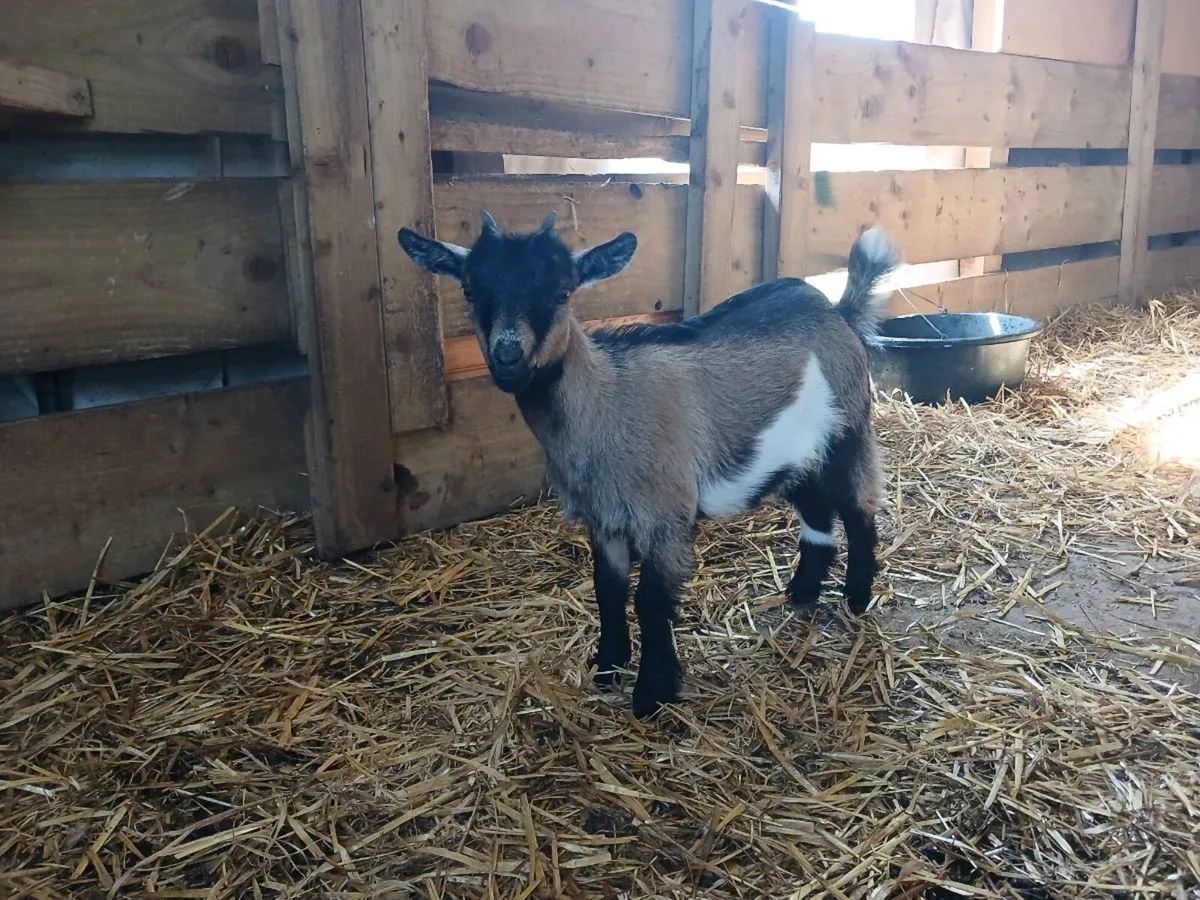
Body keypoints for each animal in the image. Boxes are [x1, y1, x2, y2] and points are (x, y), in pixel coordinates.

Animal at [398, 211, 898, 718]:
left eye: (562, 291)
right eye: (469, 289)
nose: (508, 357)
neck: (605, 400)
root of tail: (839, 311)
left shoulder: (666, 516)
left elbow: (651, 602)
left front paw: (651, 694)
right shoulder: (604, 519)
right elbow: (607, 588)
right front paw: (607, 666)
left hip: (847, 432)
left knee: (859, 507)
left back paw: (857, 597)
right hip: (795, 456)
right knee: (817, 510)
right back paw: (801, 594)